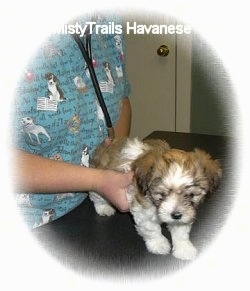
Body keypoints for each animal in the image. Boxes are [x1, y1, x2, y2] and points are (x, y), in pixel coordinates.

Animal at [89, 138, 222, 262]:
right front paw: (159, 244)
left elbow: (181, 232)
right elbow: (151, 229)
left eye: (191, 195)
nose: (176, 215)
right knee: (96, 195)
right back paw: (103, 207)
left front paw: (184, 249)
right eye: (161, 194)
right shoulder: (142, 209)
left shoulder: (185, 214)